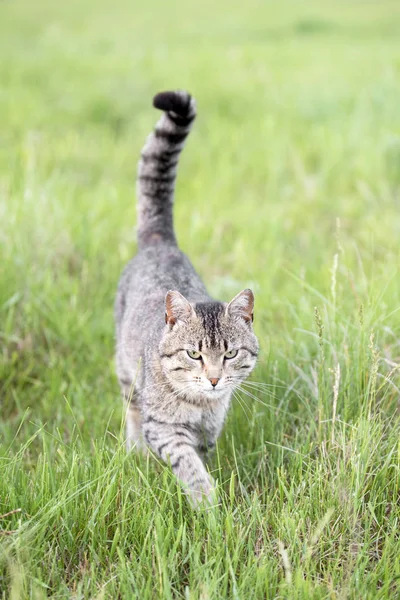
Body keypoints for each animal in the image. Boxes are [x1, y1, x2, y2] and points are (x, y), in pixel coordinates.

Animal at [115, 90, 260, 506]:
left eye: (230, 354)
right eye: (194, 354)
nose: (212, 379)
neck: (201, 405)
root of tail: (159, 241)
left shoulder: (211, 429)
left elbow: (204, 452)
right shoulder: (164, 428)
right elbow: (188, 463)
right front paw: (207, 503)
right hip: (126, 372)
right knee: (132, 410)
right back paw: (135, 452)